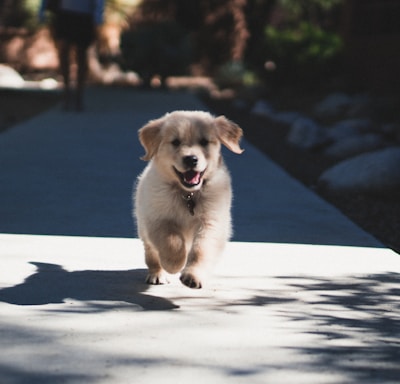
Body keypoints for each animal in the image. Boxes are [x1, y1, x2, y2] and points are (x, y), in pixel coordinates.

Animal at [134, 110, 244, 288]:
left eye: (204, 142)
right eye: (176, 142)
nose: (191, 159)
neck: (188, 194)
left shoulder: (211, 221)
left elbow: (201, 249)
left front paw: (193, 276)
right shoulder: (157, 219)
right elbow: (172, 241)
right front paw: (174, 264)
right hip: (143, 226)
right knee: (151, 253)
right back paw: (157, 274)